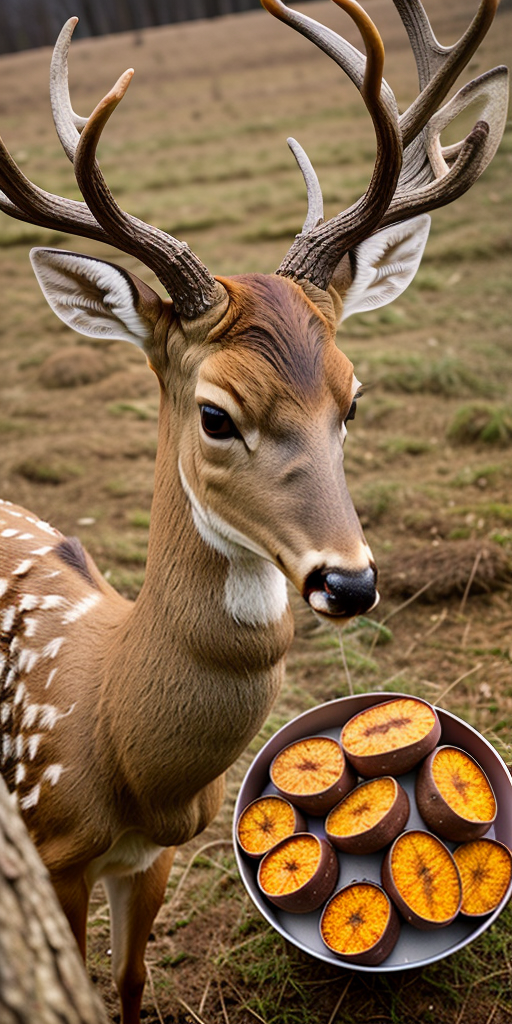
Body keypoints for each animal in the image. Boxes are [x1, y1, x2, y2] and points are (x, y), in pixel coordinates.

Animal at [0, 1, 507, 1021]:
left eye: (353, 397)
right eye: (215, 413)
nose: (347, 582)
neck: (107, 732)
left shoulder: (155, 855)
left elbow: (130, 985)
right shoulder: (47, 847)